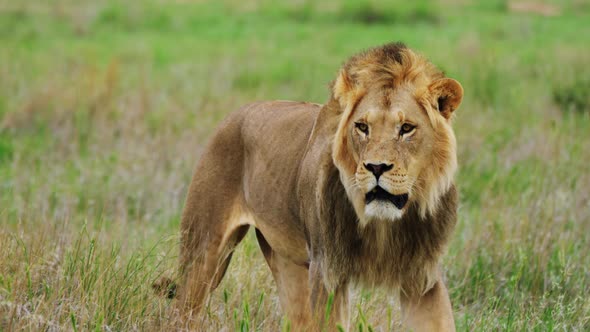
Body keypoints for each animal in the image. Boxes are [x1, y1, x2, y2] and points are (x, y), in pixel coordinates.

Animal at [165, 42, 462, 330]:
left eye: (407, 128)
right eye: (362, 127)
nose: (376, 168)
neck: (383, 226)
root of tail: (234, 114)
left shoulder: (423, 278)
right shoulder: (327, 272)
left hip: (287, 263)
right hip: (203, 253)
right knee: (181, 312)